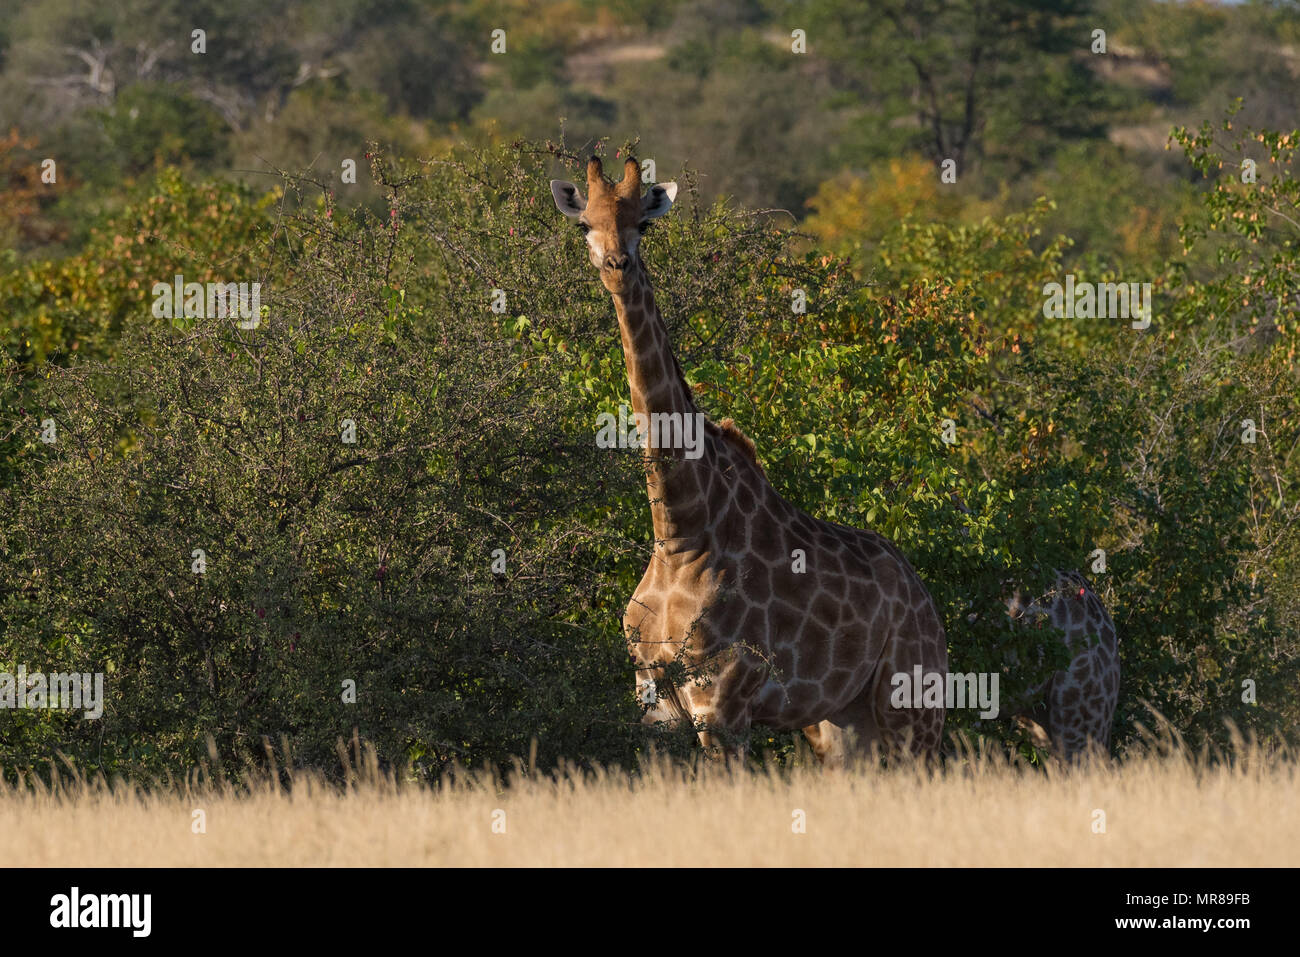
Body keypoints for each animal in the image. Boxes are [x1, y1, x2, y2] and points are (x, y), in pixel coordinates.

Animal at [548, 158, 946, 769]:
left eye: (643, 223)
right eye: (584, 225)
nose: (617, 267)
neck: (682, 532)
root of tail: (925, 599)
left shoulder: (723, 703)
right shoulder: (654, 707)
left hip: (913, 704)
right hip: (841, 721)